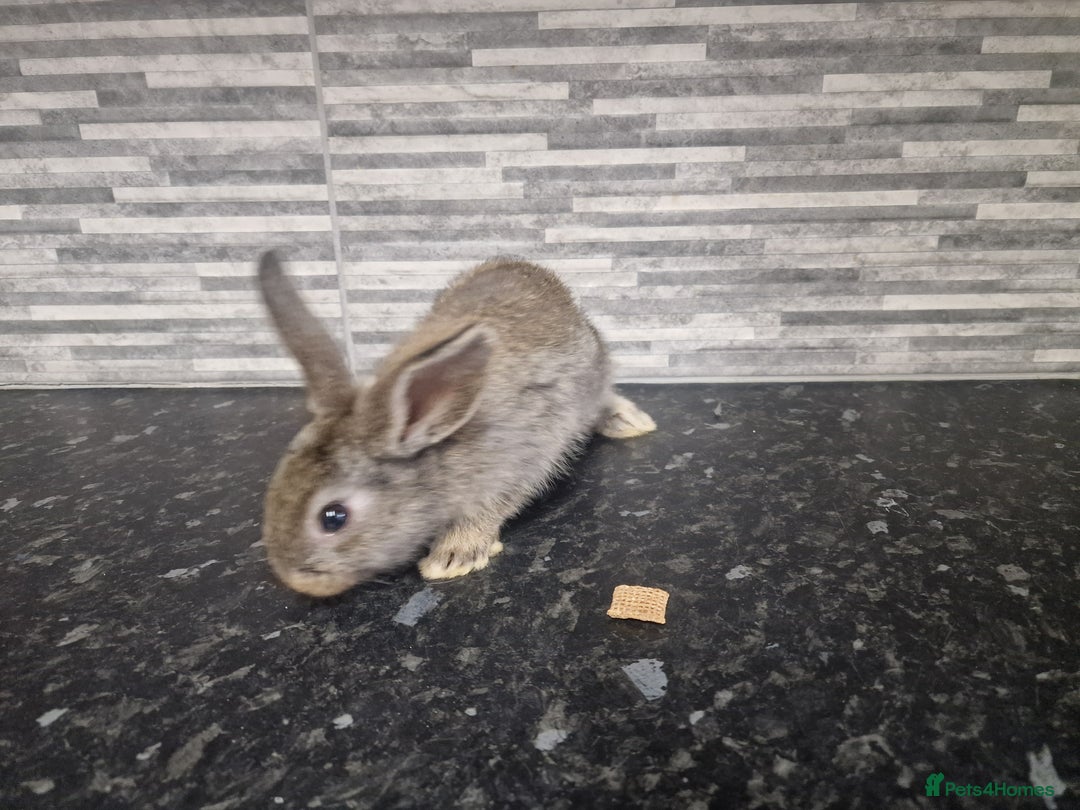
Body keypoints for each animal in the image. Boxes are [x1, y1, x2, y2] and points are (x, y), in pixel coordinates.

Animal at [256, 251, 656, 597]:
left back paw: (629, 421)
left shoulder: (517, 462)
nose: (294, 580)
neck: (436, 443)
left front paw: (453, 557)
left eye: (333, 517)